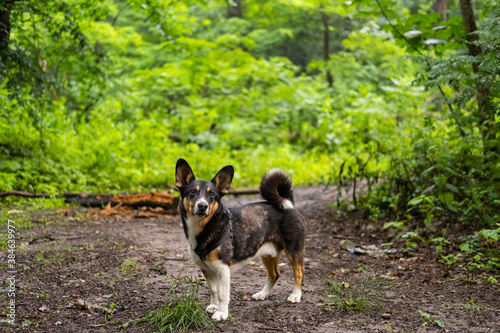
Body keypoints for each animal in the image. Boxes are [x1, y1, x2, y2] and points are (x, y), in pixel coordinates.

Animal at [176, 160, 308, 320]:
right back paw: (262, 294)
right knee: (275, 274)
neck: (205, 227)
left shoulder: (223, 269)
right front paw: (214, 306)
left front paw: (222, 313)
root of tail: (290, 205)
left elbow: (222, 294)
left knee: (299, 271)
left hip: (294, 250)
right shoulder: (206, 269)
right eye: (192, 192)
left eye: (212, 194)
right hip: (268, 254)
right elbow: (213, 290)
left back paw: (295, 295)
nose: (202, 206)